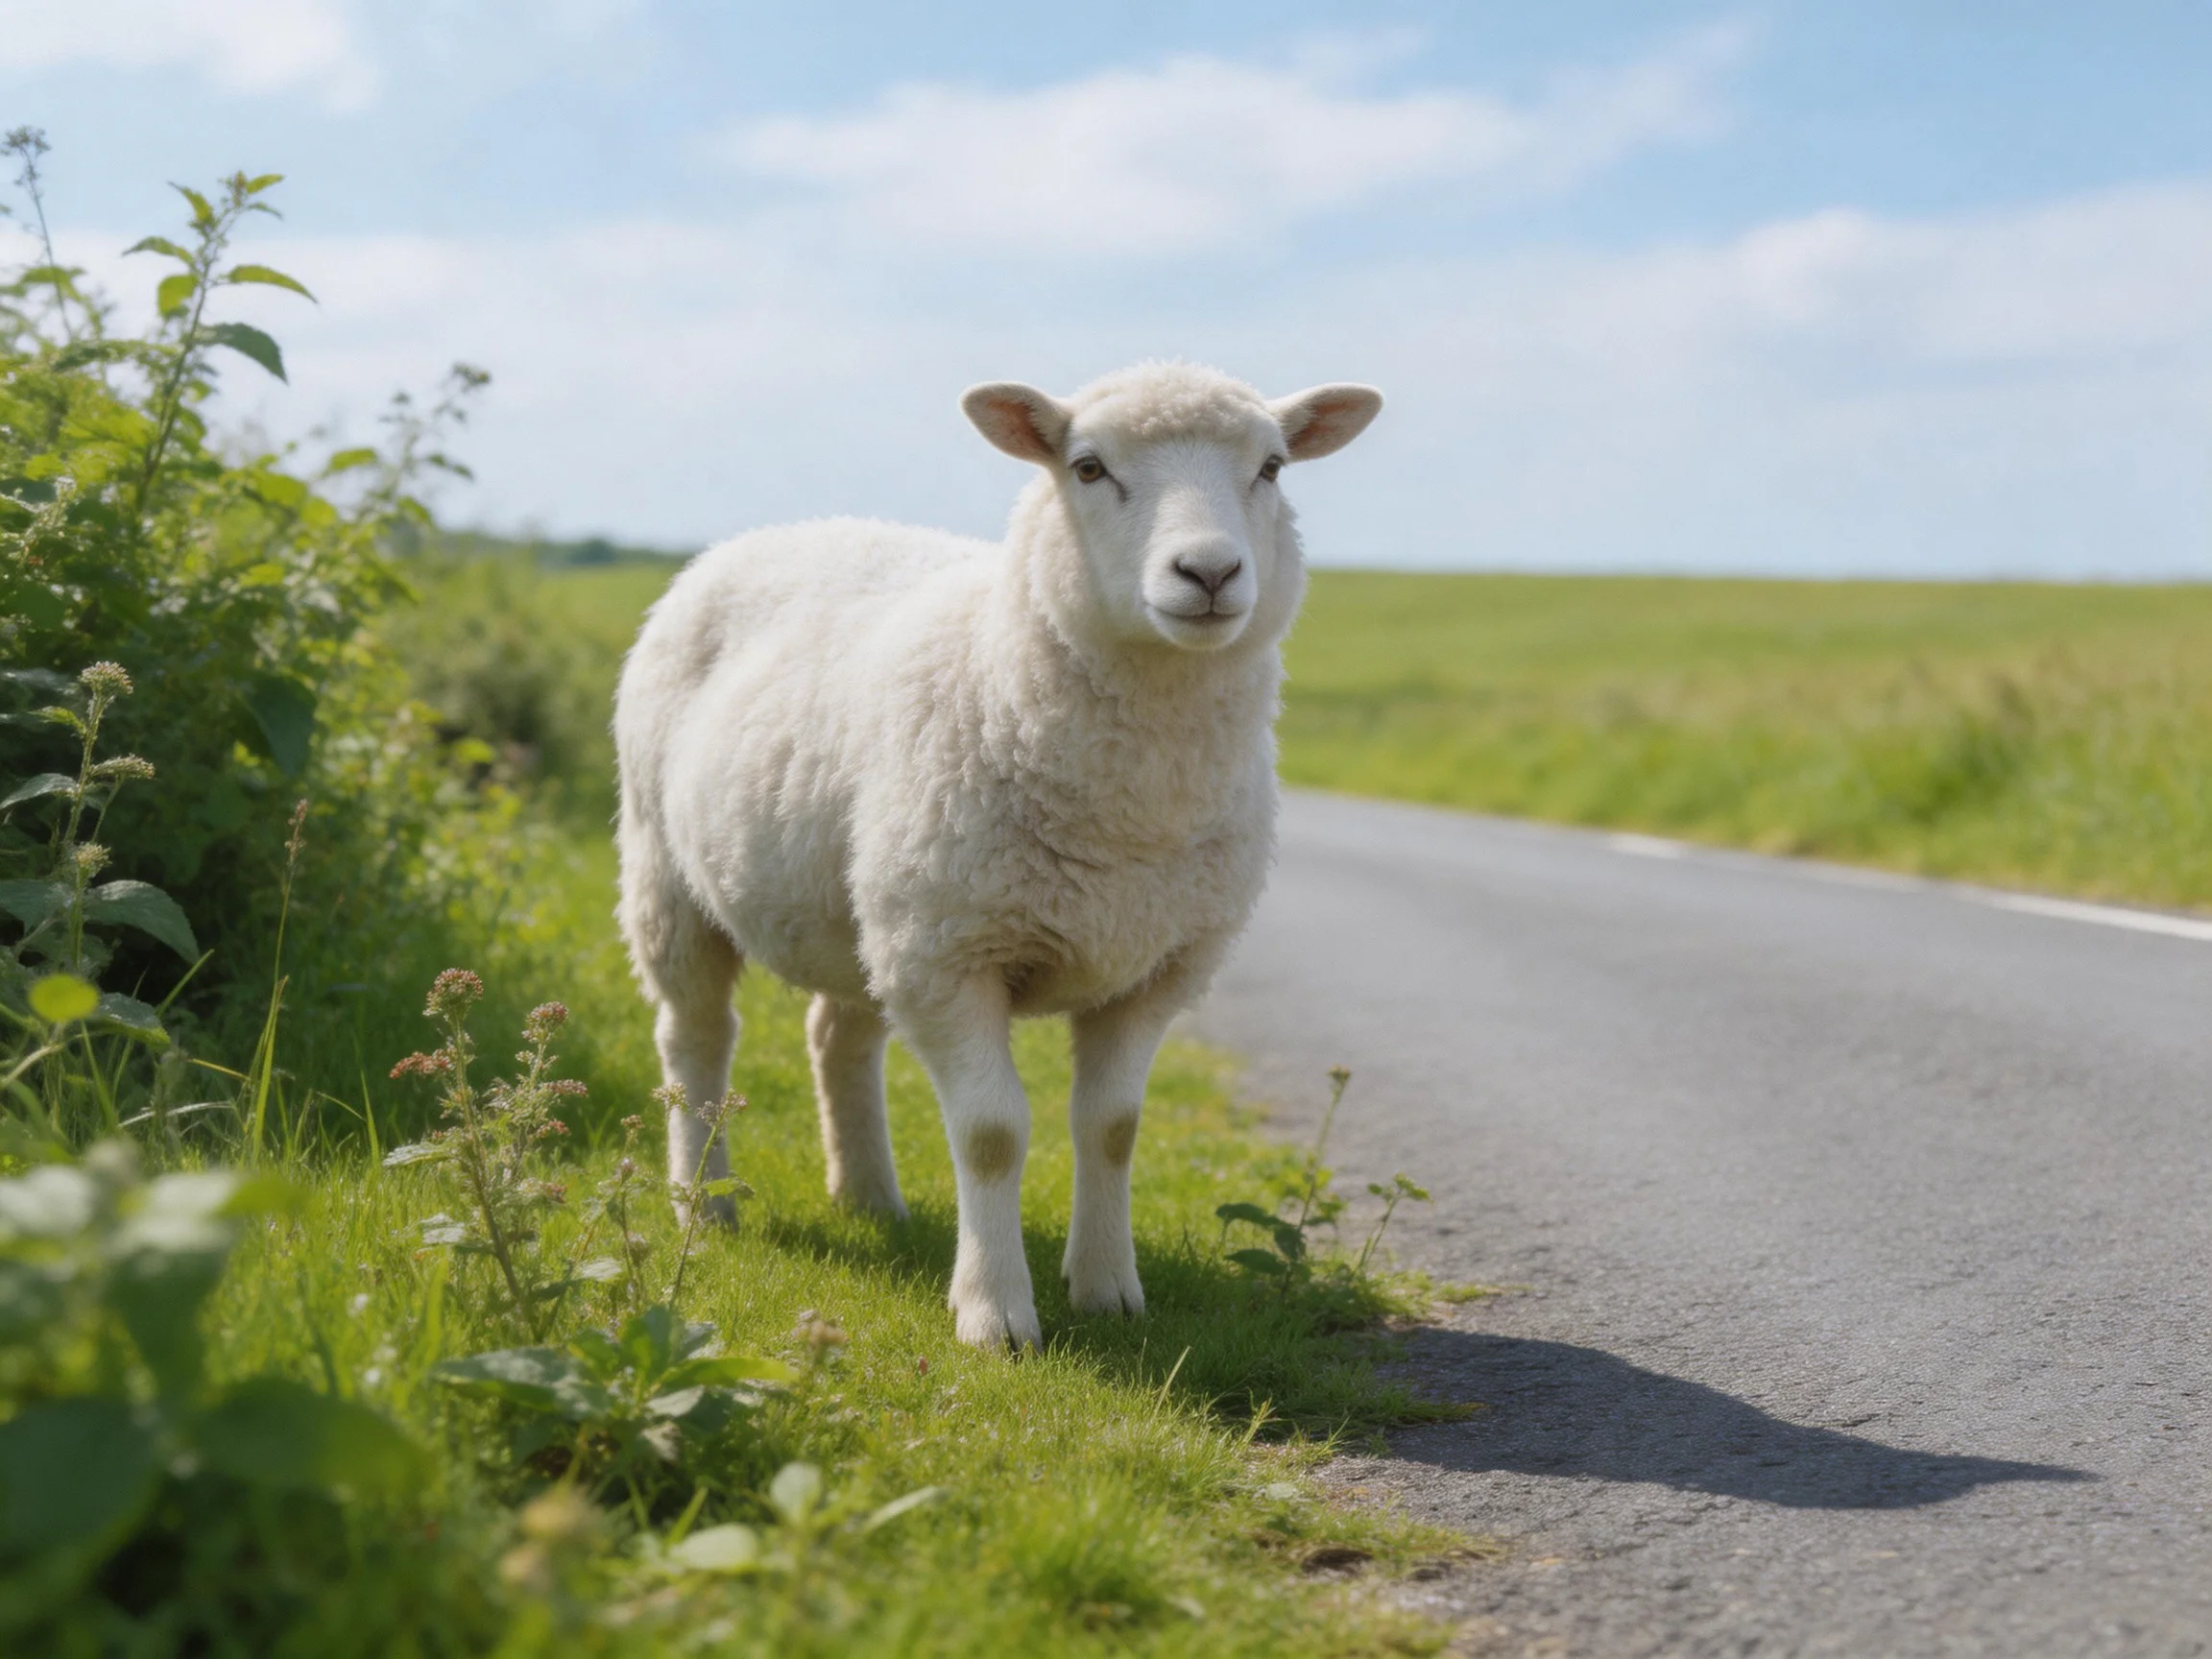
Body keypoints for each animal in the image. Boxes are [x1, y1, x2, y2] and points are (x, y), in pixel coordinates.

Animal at [614, 361, 1382, 1348]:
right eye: (1088, 467)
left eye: (1273, 467)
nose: (1209, 571)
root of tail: (767, 535)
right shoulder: (950, 955)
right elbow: (992, 1134)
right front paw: (995, 1315)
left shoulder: (1155, 967)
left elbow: (1113, 1127)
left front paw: (1108, 1289)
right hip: (673, 876)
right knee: (695, 1036)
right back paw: (702, 1204)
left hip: (867, 906)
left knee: (837, 1038)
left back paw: (869, 1197)